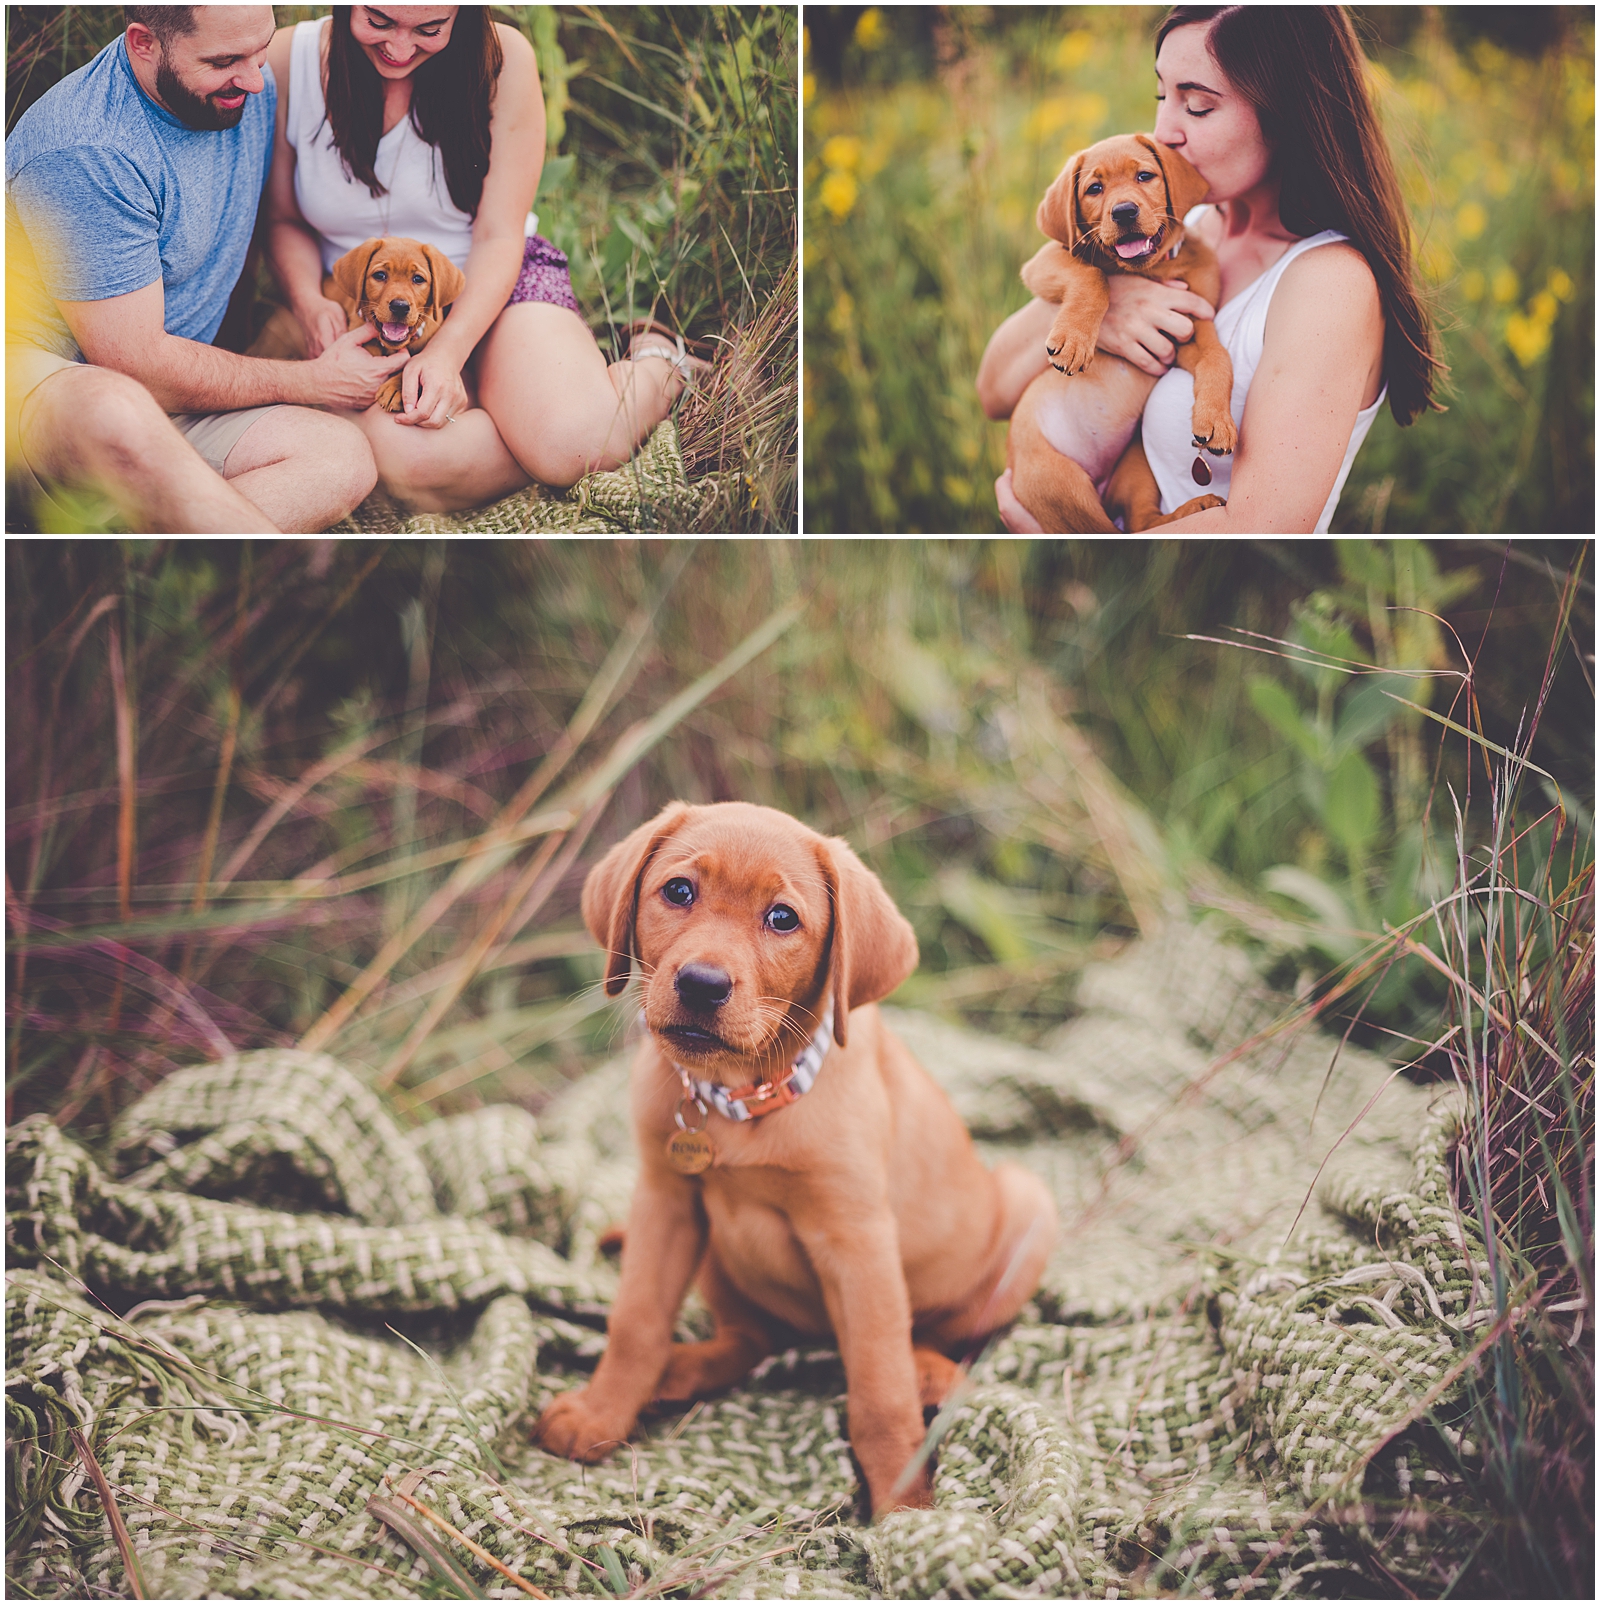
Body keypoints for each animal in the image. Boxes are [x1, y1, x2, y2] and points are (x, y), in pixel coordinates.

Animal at [542, 808, 1052, 1508]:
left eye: (782, 918)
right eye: (678, 891)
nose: (701, 984)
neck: (739, 1100)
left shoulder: (858, 1242)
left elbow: (879, 1392)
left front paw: (907, 1506)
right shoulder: (665, 1202)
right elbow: (636, 1324)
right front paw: (600, 1415)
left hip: (1028, 1206)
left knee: (929, 1339)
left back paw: (930, 1371)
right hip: (718, 1258)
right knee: (750, 1340)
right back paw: (679, 1370)